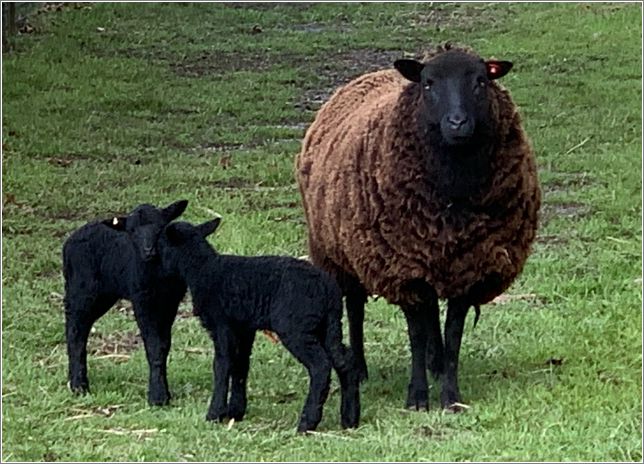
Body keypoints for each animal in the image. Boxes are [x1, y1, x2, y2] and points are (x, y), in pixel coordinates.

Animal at [63, 201, 189, 404]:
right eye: (132, 231)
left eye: (160, 227)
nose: (148, 250)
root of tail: (69, 242)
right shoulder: (142, 301)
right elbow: (154, 345)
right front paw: (158, 397)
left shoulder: (170, 302)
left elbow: (164, 345)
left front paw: (164, 392)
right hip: (81, 290)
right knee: (75, 330)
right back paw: (79, 386)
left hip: (104, 295)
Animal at [158, 219, 360, 434]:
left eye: (161, 244)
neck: (202, 269)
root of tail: (328, 290)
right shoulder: (244, 328)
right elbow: (240, 365)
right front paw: (235, 411)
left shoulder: (222, 324)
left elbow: (222, 365)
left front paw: (214, 414)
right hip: (327, 326)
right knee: (344, 362)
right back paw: (350, 419)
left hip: (296, 328)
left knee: (320, 365)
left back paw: (307, 422)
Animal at [296, 43, 540, 412]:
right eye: (428, 83)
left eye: (481, 81)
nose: (457, 122)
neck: (452, 192)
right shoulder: (403, 269)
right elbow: (415, 334)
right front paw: (417, 397)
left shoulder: (469, 266)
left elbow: (452, 335)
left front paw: (450, 395)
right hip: (341, 253)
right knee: (355, 309)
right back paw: (360, 367)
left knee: (431, 316)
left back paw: (434, 363)